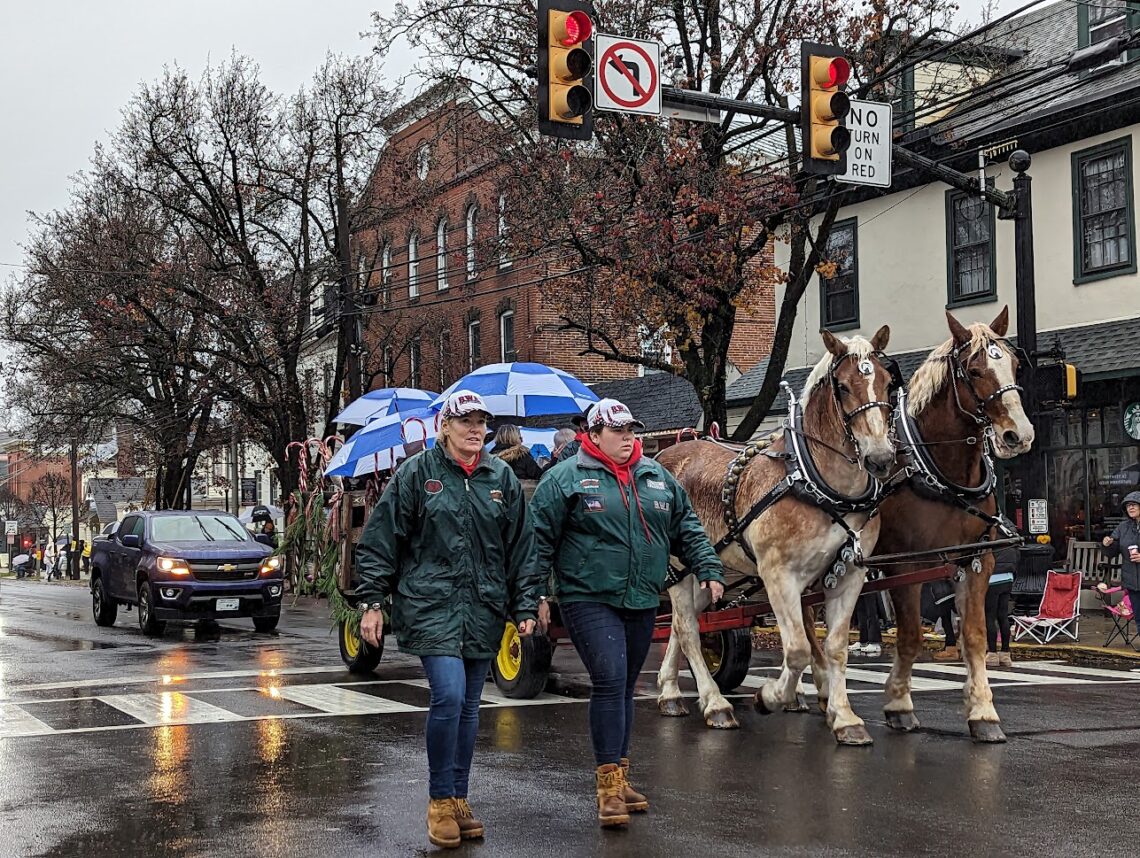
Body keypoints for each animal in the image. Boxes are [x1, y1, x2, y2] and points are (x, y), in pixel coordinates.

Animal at [661, 328, 898, 742]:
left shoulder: (850, 575)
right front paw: (770, 697)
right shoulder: (779, 575)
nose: (880, 459)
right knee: (688, 629)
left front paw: (845, 717)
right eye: (843, 386)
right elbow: (799, 649)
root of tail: (661, 456)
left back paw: (670, 692)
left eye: (886, 382)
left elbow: (836, 648)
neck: (817, 483)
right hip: (679, 567)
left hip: (715, 573)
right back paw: (716, 703)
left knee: (679, 623)